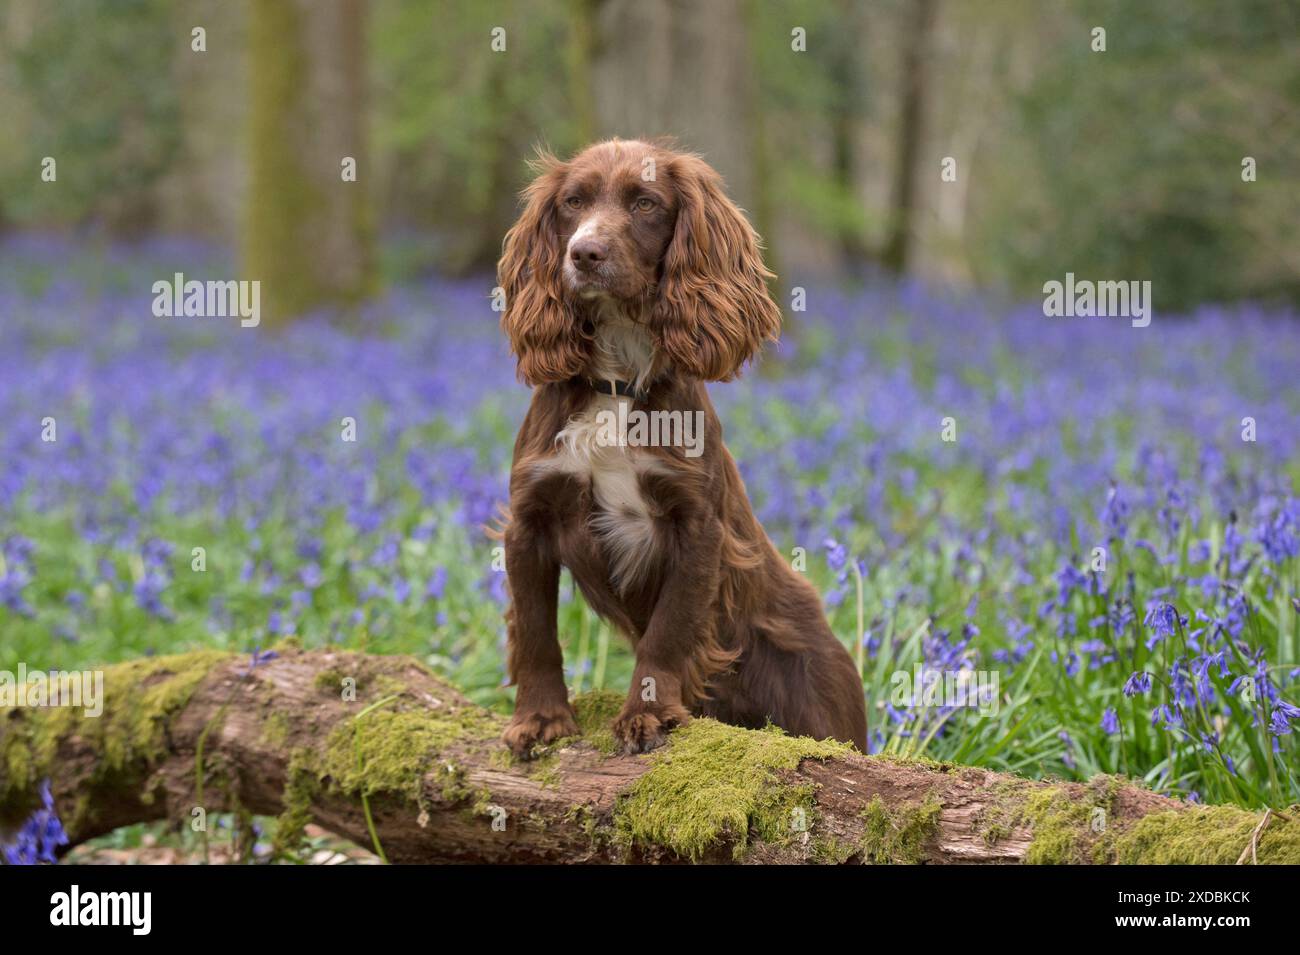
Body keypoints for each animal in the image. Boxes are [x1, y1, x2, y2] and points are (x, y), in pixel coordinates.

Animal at [499, 138, 873, 758]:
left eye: (645, 203)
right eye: (573, 202)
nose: (583, 254)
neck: (618, 382)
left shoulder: (696, 526)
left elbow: (668, 633)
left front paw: (646, 716)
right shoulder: (528, 519)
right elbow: (535, 631)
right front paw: (541, 719)